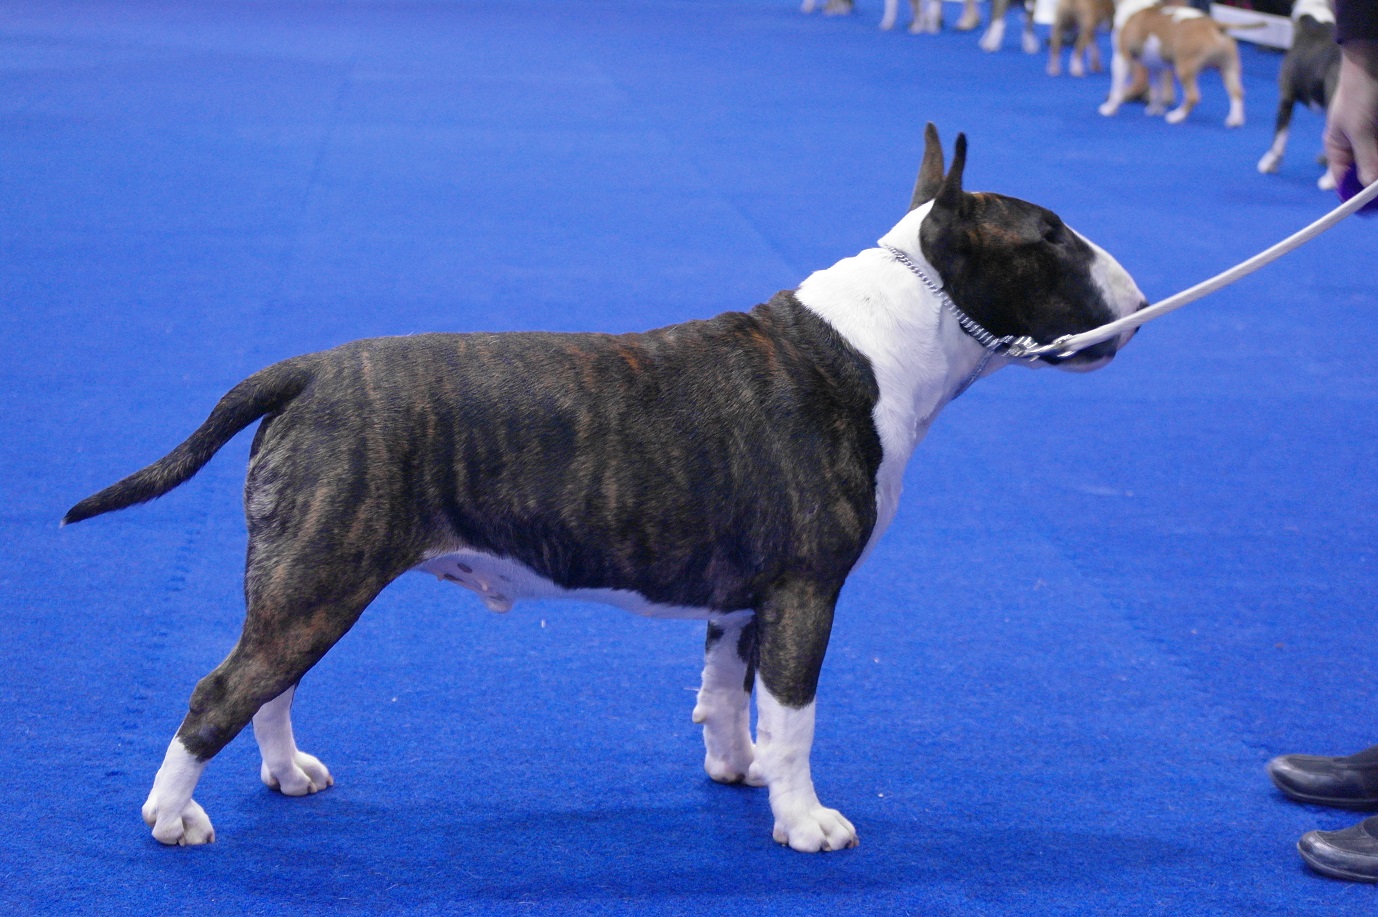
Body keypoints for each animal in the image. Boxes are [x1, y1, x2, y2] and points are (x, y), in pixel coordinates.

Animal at [64, 126, 1147, 852]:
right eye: (1051, 236)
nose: (1138, 302)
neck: (888, 335)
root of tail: (305, 372)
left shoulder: (744, 594)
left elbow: (728, 690)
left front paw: (737, 769)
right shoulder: (806, 588)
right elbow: (796, 714)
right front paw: (804, 818)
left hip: (309, 577)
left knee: (271, 681)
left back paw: (287, 771)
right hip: (322, 572)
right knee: (225, 687)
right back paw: (171, 814)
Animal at [1099, 0, 1247, 127]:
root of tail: (1214, 24)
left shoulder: (1121, 58)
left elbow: (1116, 89)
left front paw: (1110, 108)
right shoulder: (1157, 66)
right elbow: (1158, 89)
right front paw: (1155, 109)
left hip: (1184, 68)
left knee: (1193, 96)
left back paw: (1177, 116)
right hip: (1228, 68)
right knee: (1237, 92)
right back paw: (1235, 120)